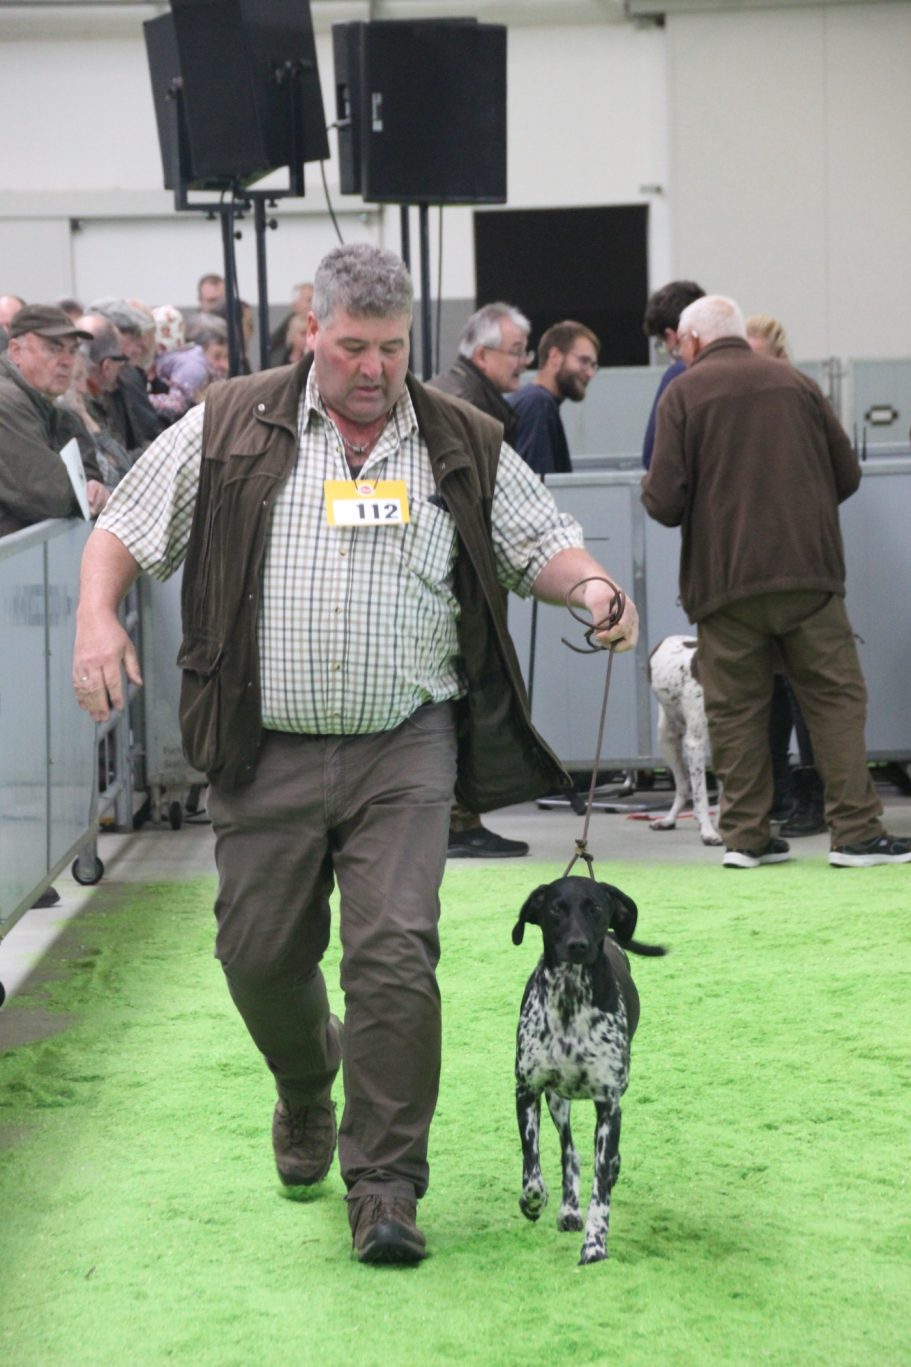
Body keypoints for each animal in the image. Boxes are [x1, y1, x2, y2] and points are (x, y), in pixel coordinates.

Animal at [512, 876, 666, 1265]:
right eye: (555, 908)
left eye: (595, 908)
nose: (577, 945)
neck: (570, 1001)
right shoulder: (527, 1090)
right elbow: (532, 1166)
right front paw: (534, 1201)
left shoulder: (609, 1105)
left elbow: (602, 1189)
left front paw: (595, 1245)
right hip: (557, 1100)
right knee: (570, 1153)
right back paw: (568, 1209)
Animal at [647, 635, 722, 845]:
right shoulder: (695, 743)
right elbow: (701, 795)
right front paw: (708, 832)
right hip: (667, 741)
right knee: (684, 787)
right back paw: (668, 819)